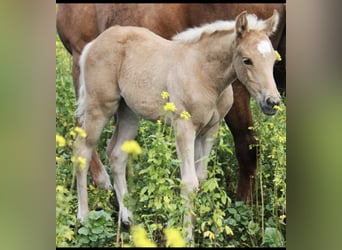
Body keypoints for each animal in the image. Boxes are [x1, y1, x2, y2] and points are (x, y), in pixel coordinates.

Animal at [75, 10, 280, 243]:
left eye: (273, 59)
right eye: (247, 60)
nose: (272, 102)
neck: (204, 73)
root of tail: (93, 44)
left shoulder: (209, 130)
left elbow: (201, 179)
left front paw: (203, 228)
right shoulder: (184, 127)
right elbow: (189, 182)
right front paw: (187, 236)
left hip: (128, 112)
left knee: (117, 154)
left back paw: (128, 219)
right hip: (99, 108)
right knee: (82, 150)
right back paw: (83, 217)